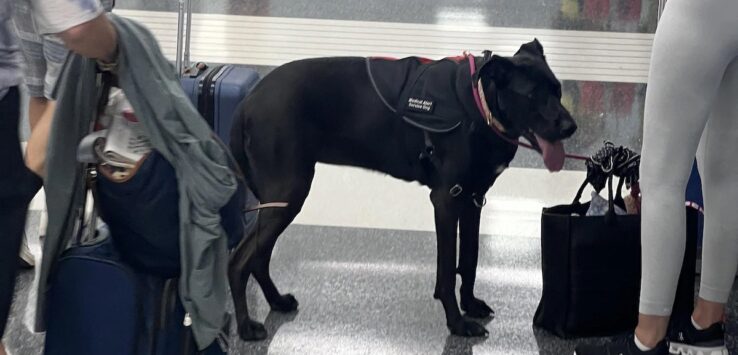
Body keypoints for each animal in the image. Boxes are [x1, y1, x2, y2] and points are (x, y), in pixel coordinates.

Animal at [229, 39, 576, 342]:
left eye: (557, 90)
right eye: (532, 95)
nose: (570, 127)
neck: (479, 105)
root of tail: (247, 102)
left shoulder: (473, 199)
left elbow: (470, 259)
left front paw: (470, 305)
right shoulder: (446, 200)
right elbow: (447, 271)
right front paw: (457, 323)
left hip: (277, 199)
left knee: (258, 256)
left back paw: (276, 301)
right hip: (287, 193)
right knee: (239, 260)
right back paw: (245, 327)